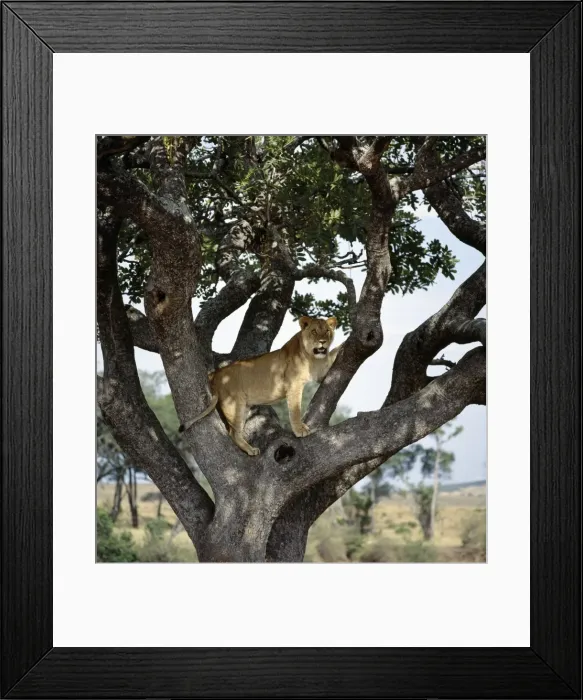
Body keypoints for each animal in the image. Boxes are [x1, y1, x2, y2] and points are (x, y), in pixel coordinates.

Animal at [179, 316, 342, 455]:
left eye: (327, 331)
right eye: (314, 331)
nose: (322, 341)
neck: (312, 358)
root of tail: (216, 374)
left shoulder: (321, 374)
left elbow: (332, 356)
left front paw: (343, 346)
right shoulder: (294, 385)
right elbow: (295, 410)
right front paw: (299, 429)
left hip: (242, 407)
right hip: (234, 405)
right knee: (233, 432)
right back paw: (250, 450)